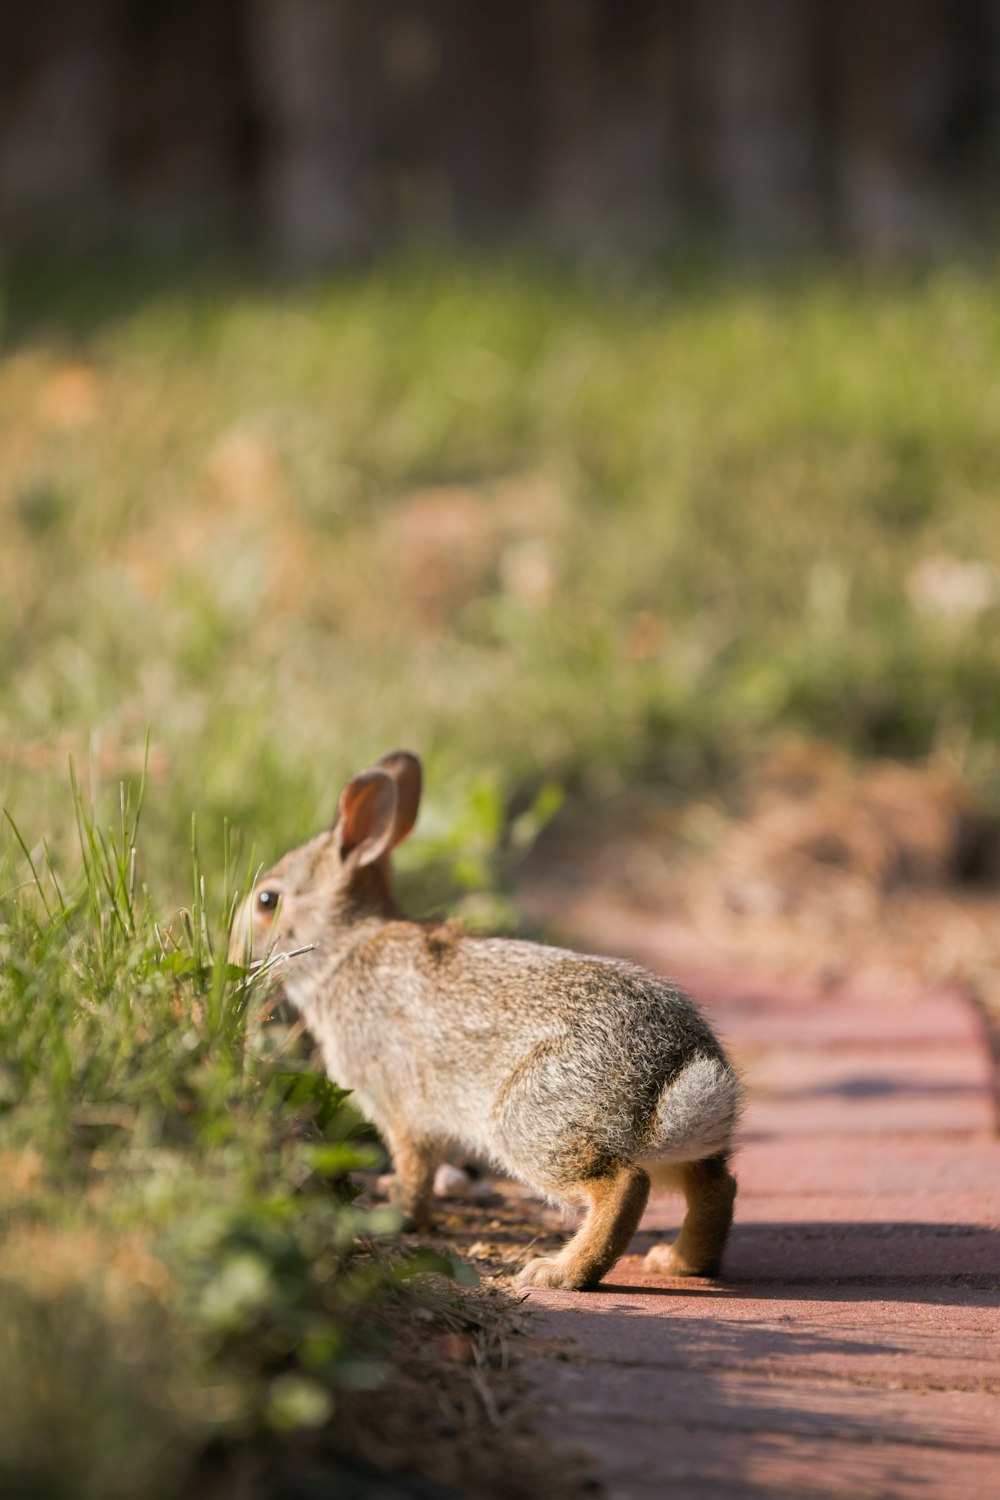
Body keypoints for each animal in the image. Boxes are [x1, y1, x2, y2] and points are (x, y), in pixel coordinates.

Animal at [229, 750, 743, 1290]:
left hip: (530, 1122)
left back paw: (556, 1273)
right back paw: (676, 1262)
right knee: (715, 1187)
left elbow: (416, 1170)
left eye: (267, 900)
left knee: (623, 1185)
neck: (343, 949)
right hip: (674, 1151)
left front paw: (401, 1213)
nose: (234, 950)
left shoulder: (401, 1109)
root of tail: (680, 1071)